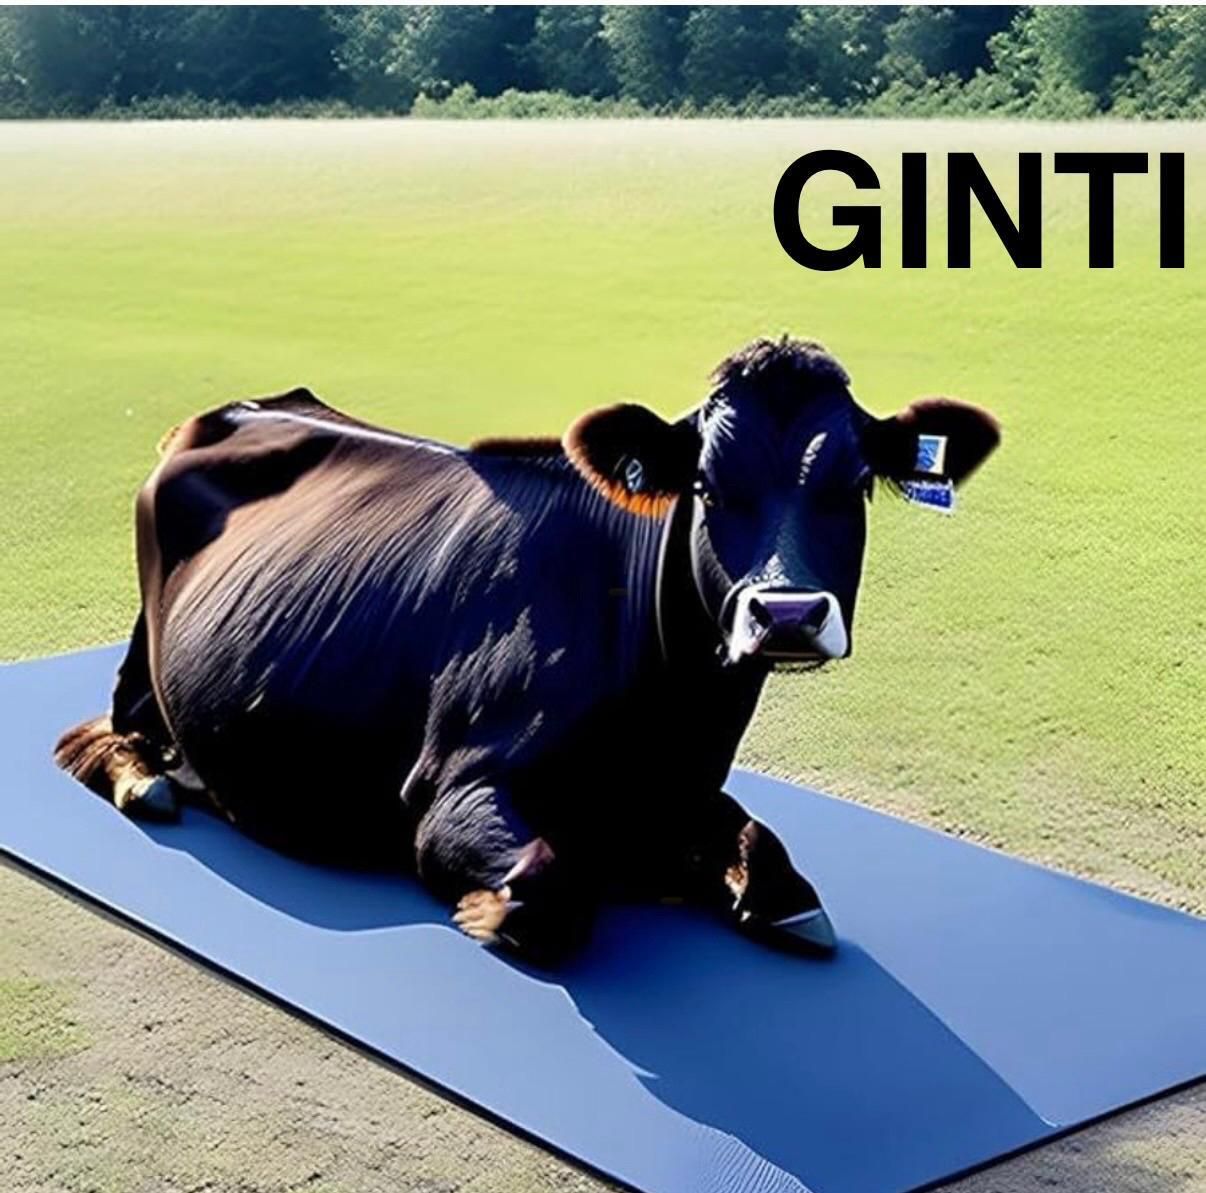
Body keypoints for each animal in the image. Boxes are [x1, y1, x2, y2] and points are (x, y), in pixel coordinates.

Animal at [54, 338, 999, 963]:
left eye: (854, 485)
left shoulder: (685, 790)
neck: (675, 712)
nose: (790, 611)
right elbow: (547, 879)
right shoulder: (449, 785)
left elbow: (769, 855)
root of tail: (244, 406)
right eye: (705, 483)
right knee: (102, 727)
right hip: (146, 647)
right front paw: (494, 910)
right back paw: (147, 777)